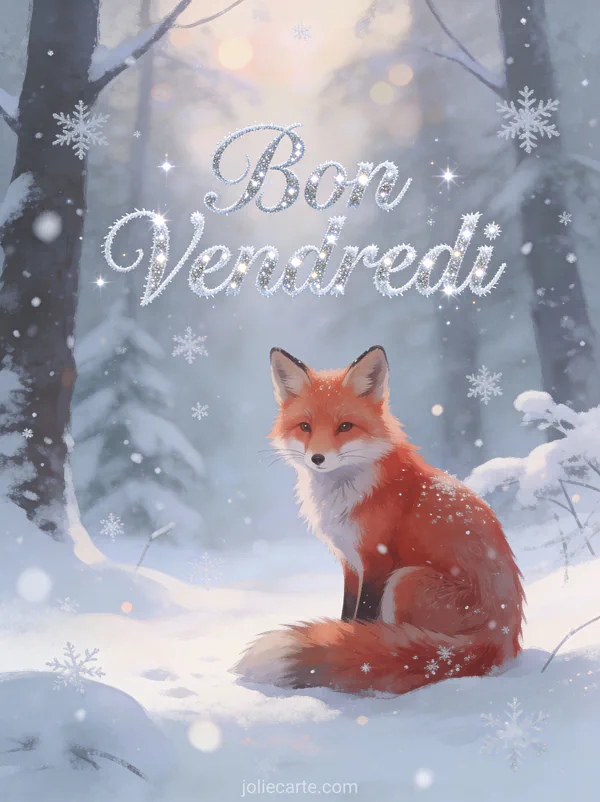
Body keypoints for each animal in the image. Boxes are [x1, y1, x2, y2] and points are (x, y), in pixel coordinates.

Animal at [234, 345, 524, 695]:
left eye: (345, 426)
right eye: (305, 427)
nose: (317, 458)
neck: (346, 497)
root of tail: (499, 640)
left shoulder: (377, 559)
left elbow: (363, 618)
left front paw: (350, 651)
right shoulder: (350, 561)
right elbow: (347, 617)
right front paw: (342, 640)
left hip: (405, 580)